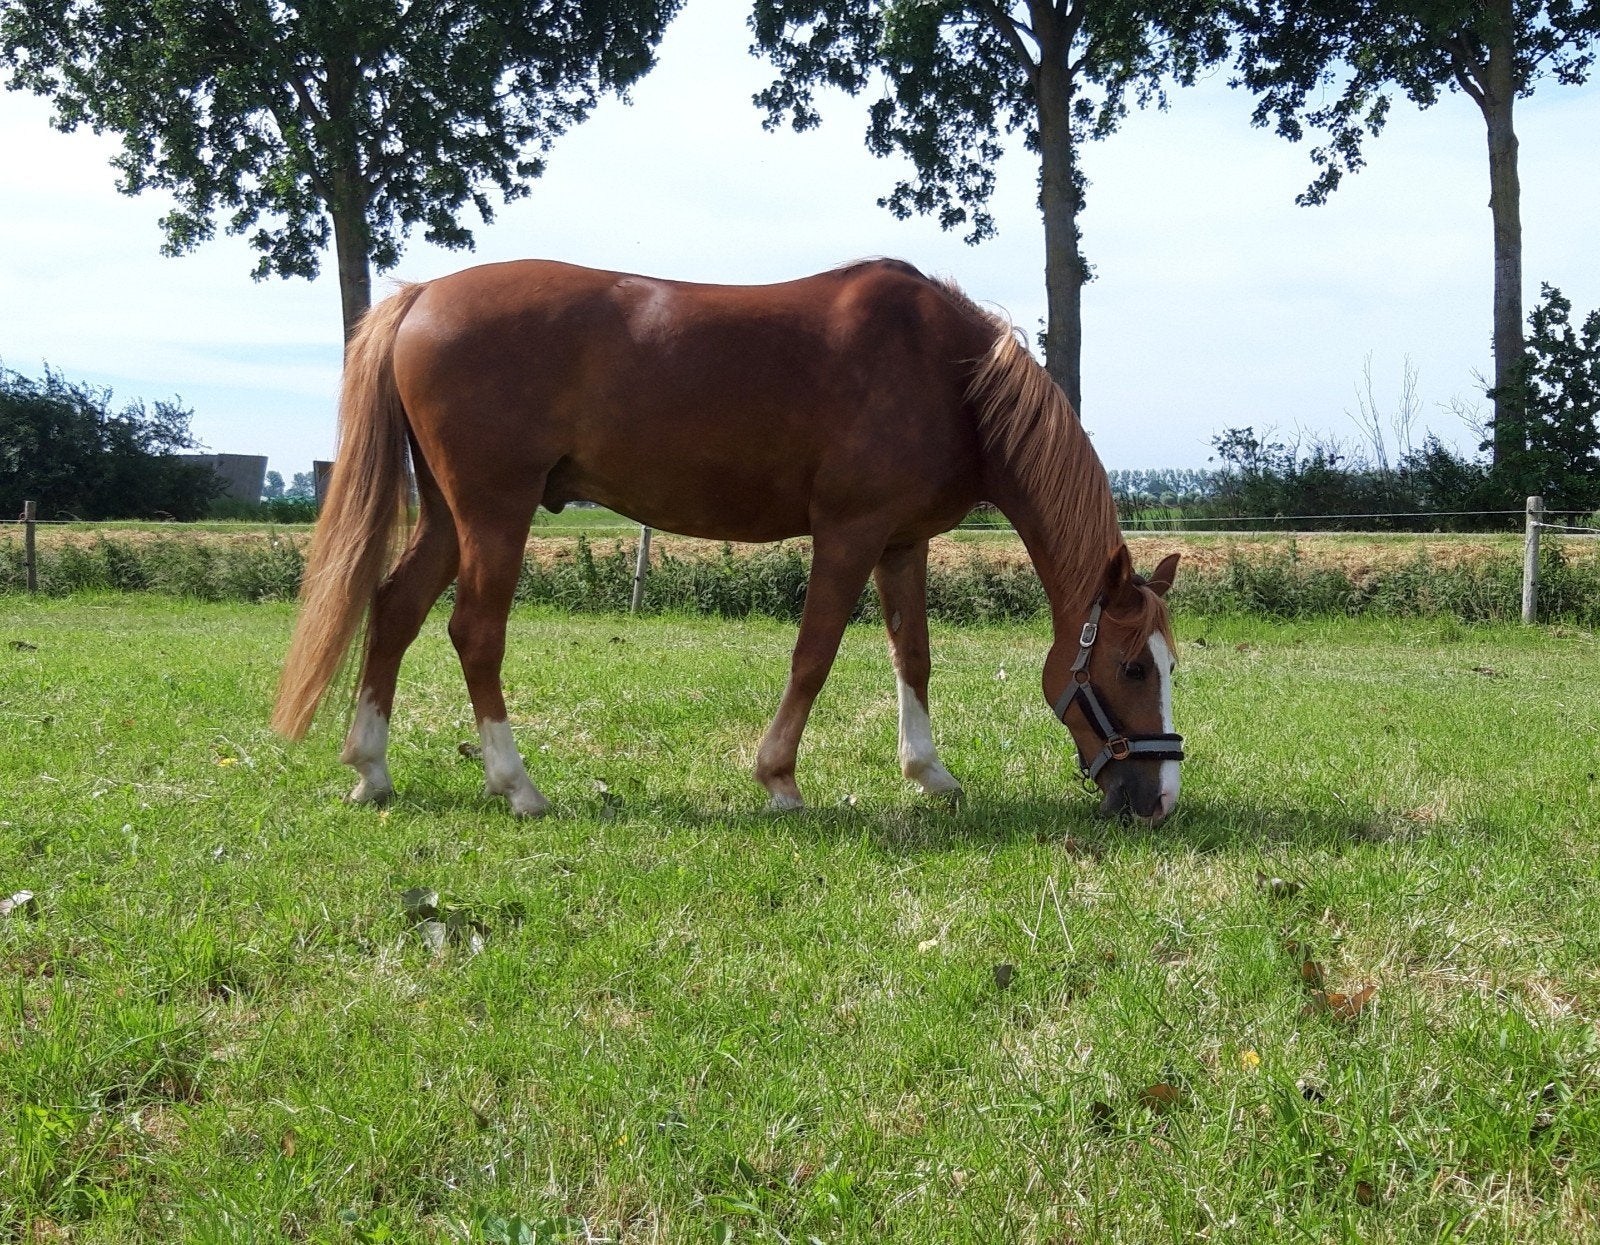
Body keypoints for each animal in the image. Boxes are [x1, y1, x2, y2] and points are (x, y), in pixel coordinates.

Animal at [272, 259, 1184, 822]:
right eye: (1134, 668)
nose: (1162, 797)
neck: (947, 372)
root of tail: (422, 295)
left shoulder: (902, 542)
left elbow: (914, 656)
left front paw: (929, 772)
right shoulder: (849, 533)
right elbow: (814, 653)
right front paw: (778, 777)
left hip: (447, 516)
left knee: (394, 610)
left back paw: (372, 768)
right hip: (495, 511)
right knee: (474, 632)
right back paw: (517, 783)